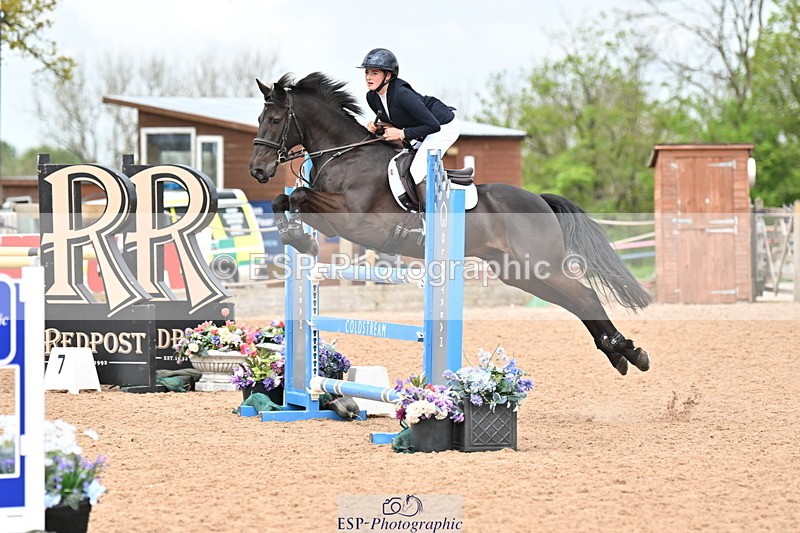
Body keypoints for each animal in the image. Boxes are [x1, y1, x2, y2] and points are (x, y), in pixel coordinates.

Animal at [248, 72, 651, 375]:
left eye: (275, 120)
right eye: (258, 120)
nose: (257, 171)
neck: (344, 155)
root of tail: (539, 200)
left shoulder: (353, 220)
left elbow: (298, 197)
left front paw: (301, 240)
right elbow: (285, 200)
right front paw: (298, 238)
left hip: (542, 265)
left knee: (585, 295)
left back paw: (628, 351)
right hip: (521, 273)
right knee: (575, 302)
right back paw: (621, 354)